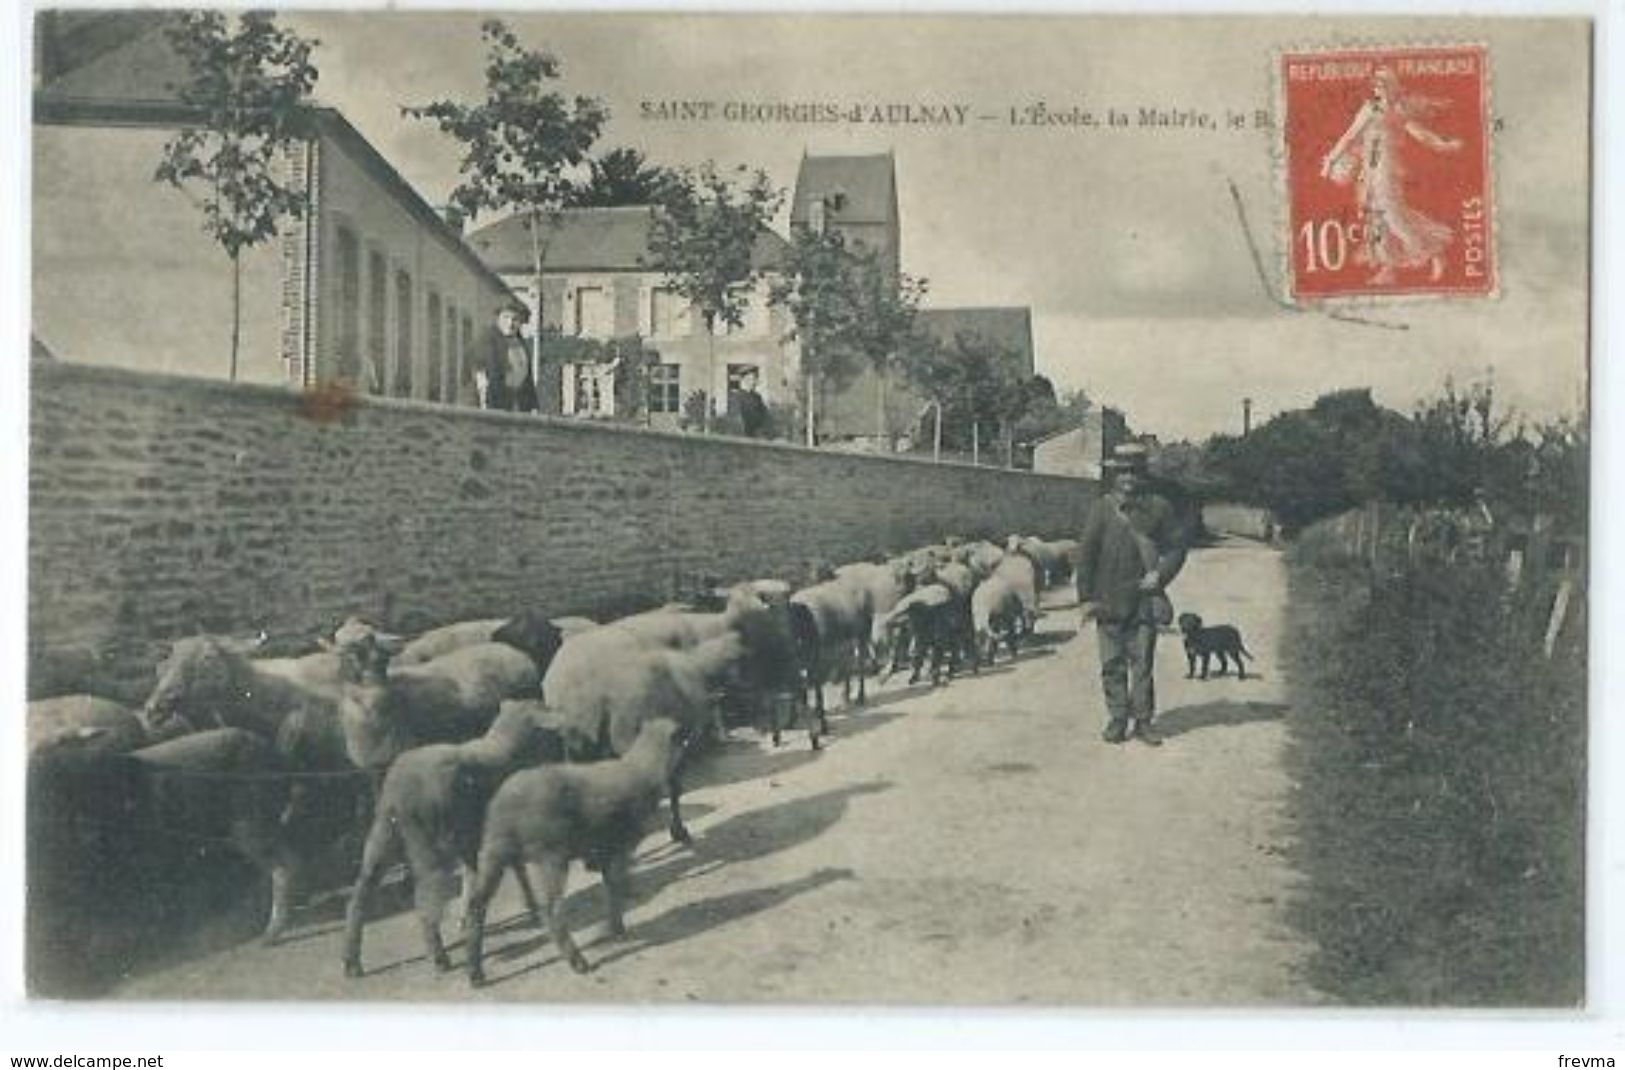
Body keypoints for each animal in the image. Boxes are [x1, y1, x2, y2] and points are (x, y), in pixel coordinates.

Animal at [338, 695, 565, 982]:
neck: (506, 748)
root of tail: (396, 793)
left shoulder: (472, 837)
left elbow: (477, 875)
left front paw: (466, 919)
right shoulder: (496, 833)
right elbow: (513, 869)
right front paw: (532, 909)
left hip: (382, 836)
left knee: (360, 893)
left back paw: (351, 962)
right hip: (426, 842)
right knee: (426, 900)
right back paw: (439, 958)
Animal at [464, 715, 685, 982]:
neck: (644, 767)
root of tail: (503, 803)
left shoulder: (605, 849)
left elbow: (610, 887)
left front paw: (614, 927)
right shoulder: (620, 846)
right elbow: (616, 886)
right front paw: (616, 928)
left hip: (494, 851)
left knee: (476, 905)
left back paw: (475, 972)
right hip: (551, 855)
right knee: (551, 909)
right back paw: (578, 962)